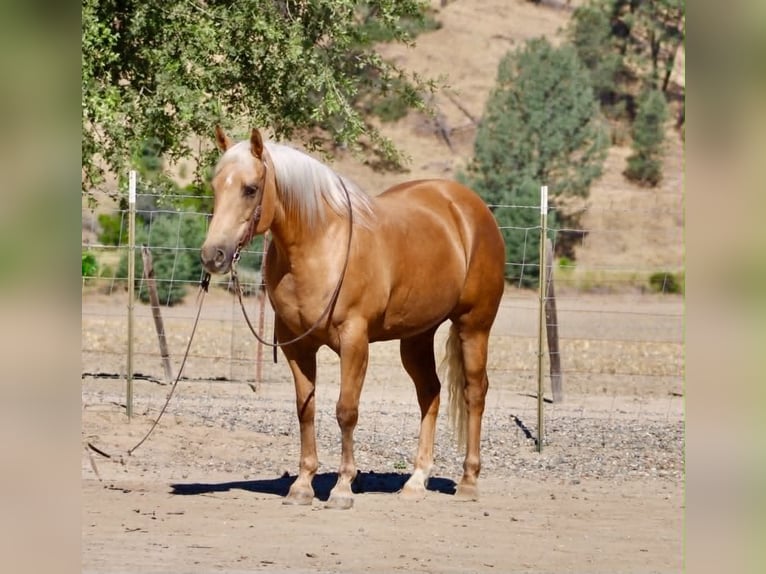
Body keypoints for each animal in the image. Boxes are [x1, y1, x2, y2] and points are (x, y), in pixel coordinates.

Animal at [200, 127, 505, 509]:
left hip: (474, 326)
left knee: (474, 392)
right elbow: (306, 410)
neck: (319, 245)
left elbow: (346, 410)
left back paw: (468, 481)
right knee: (430, 393)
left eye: (250, 188)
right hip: (416, 336)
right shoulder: (296, 345)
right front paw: (302, 485)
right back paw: (416, 480)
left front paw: (343, 487)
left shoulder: (354, 341)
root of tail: (469, 207)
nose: (213, 256)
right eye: (215, 187)